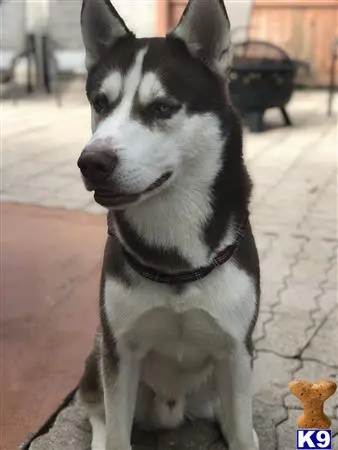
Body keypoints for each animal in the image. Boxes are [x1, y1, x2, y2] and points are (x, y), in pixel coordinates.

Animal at [78, 0, 260, 450]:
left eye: (162, 107)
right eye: (100, 103)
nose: (91, 162)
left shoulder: (236, 349)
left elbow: (240, 430)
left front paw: (244, 433)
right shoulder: (121, 350)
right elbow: (116, 430)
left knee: (230, 415)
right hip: (98, 354)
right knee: (96, 409)